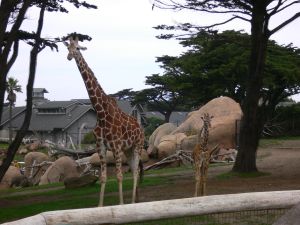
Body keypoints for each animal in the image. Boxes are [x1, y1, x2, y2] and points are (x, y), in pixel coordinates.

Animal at [64, 36, 145, 207]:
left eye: (78, 48)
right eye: (68, 47)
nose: (70, 56)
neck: (101, 114)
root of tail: (141, 129)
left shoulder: (116, 145)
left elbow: (119, 176)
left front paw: (121, 205)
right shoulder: (100, 146)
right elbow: (103, 177)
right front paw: (100, 206)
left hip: (138, 145)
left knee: (135, 171)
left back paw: (131, 202)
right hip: (128, 149)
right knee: (135, 169)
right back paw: (135, 201)